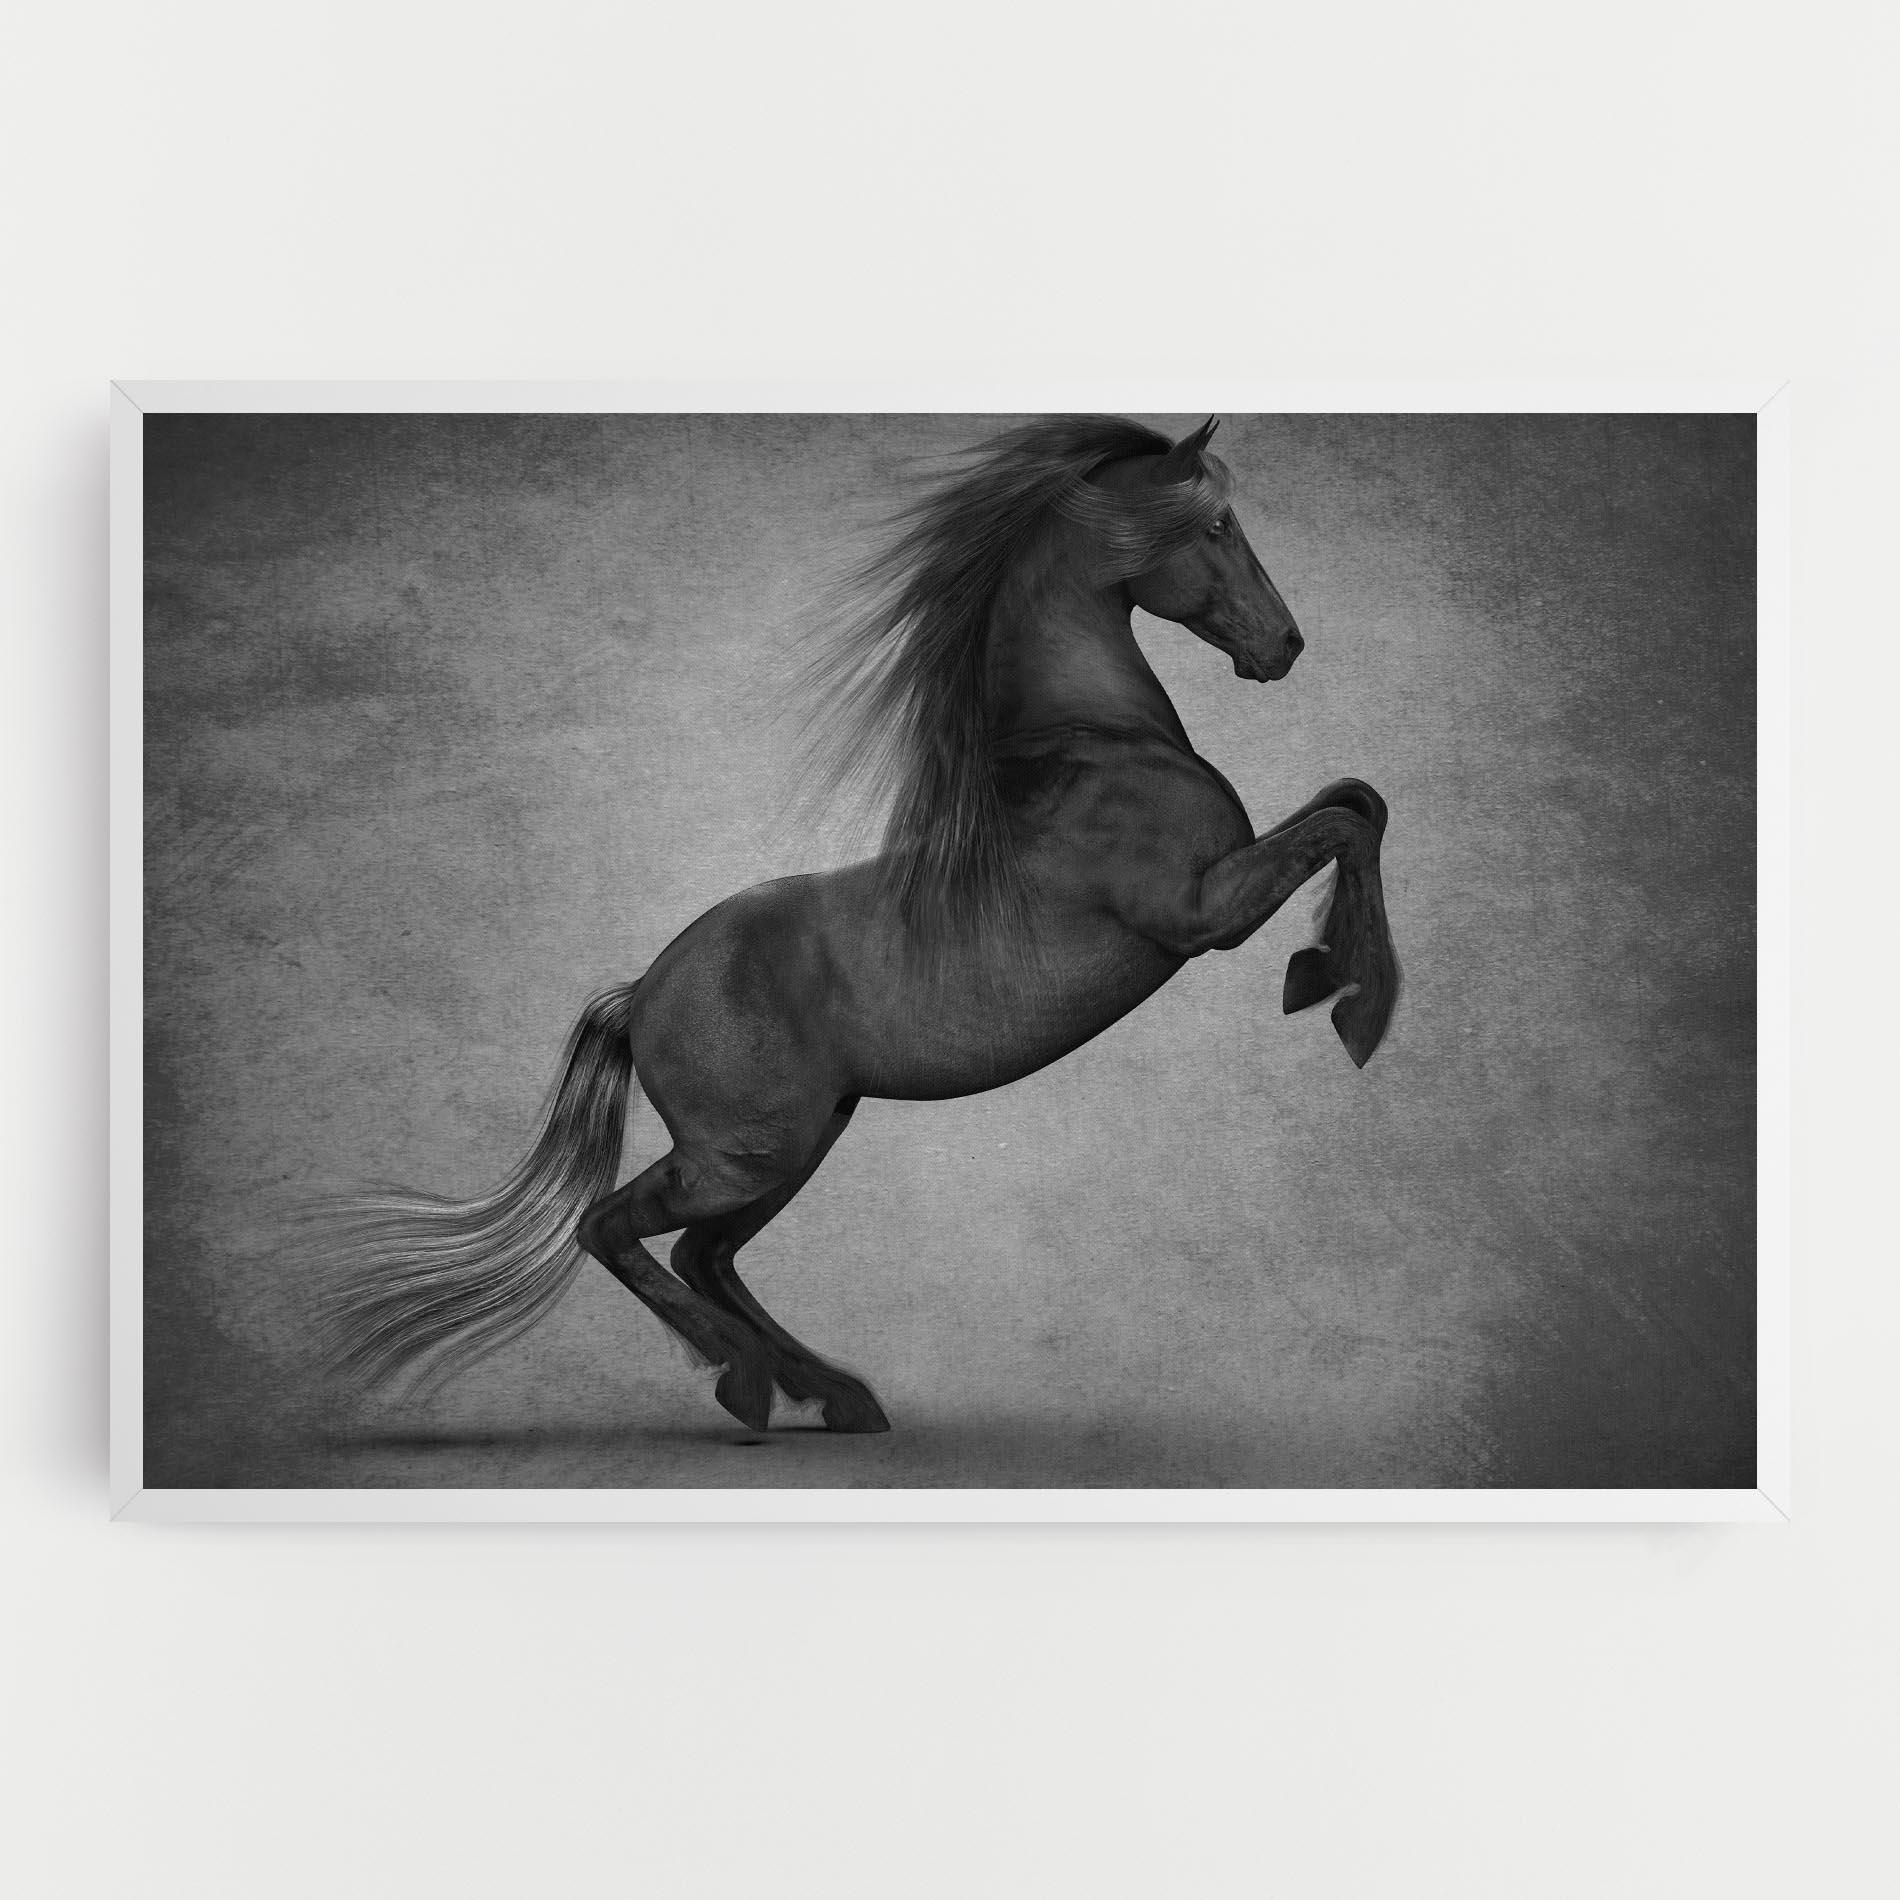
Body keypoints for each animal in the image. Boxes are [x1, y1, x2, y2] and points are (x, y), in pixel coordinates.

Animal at [317, 415, 1400, 1434]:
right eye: (1215, 525)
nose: (1286, 647)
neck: (1097, 746)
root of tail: (640, 993)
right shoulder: (1198, 913)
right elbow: (1344, 821)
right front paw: (1350, 1002)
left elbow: (1358, 799)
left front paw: (1331, 972)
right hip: (745, 1155)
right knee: (613, 1228)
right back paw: (750, 1382)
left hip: (795, 1146)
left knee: (704, 1254)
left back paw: (832, 1394)